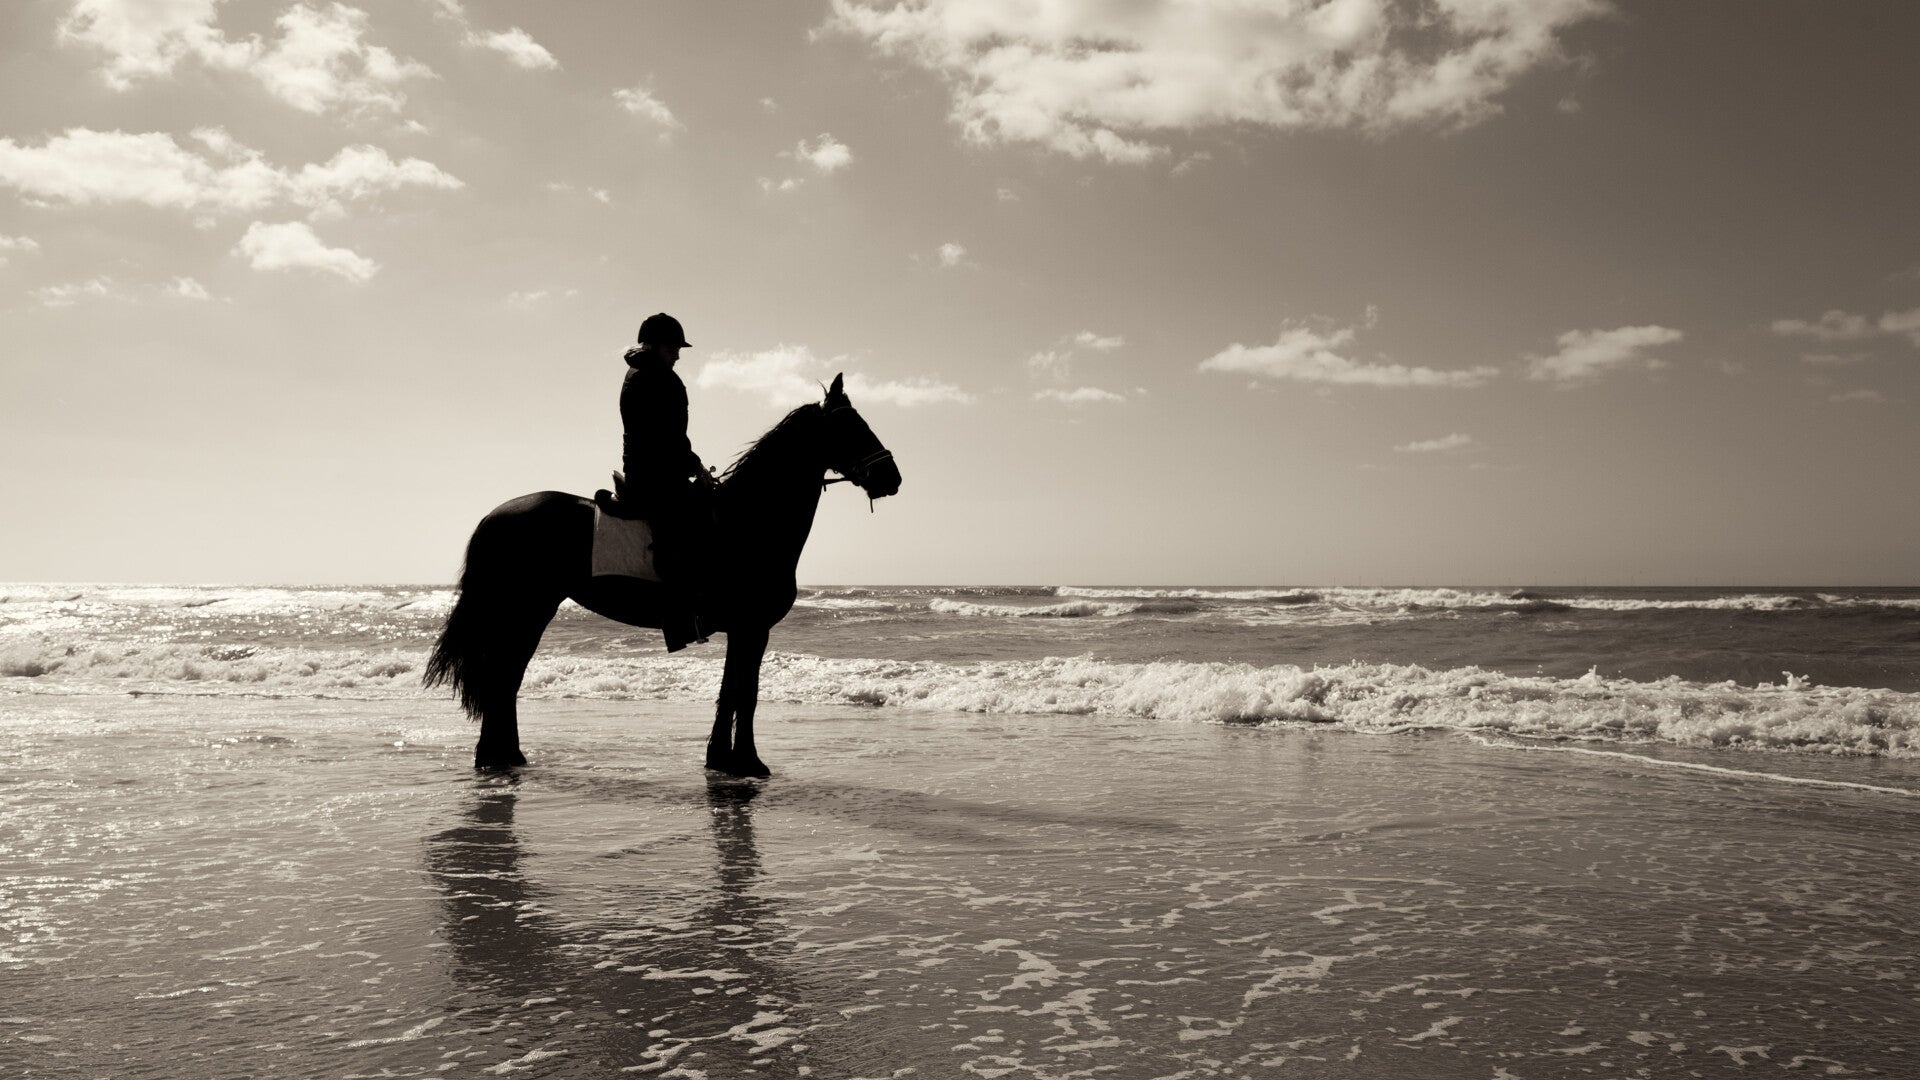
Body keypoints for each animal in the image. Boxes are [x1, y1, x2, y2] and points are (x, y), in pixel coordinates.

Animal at [424, 374, 901, 776]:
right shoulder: (752, 627)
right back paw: (496, 758)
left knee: (506, 676)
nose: (891, 477)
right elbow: (744, 694)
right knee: (502, 675)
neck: (748, 521)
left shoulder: (745, 630)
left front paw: (722, 759)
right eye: (851, 426)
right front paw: (746, 762)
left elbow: (732, 690)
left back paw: (505, 755)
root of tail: (494, 516)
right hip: (525, 609)